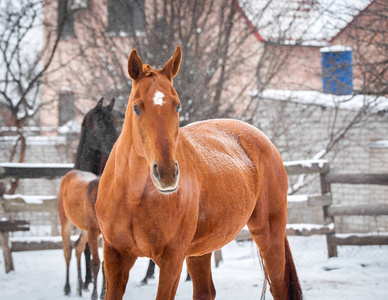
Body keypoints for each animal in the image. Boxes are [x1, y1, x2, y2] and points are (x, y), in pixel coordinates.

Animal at [95, 47, 302, 300]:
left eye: (177, 105)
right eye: (137, 107)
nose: (166, 173)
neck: (132, 198)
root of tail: (264, 140)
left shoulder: (171, 260)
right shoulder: (115, 257)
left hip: (268, 234)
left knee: (279, 286)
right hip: (200, 251)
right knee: (205, 291)